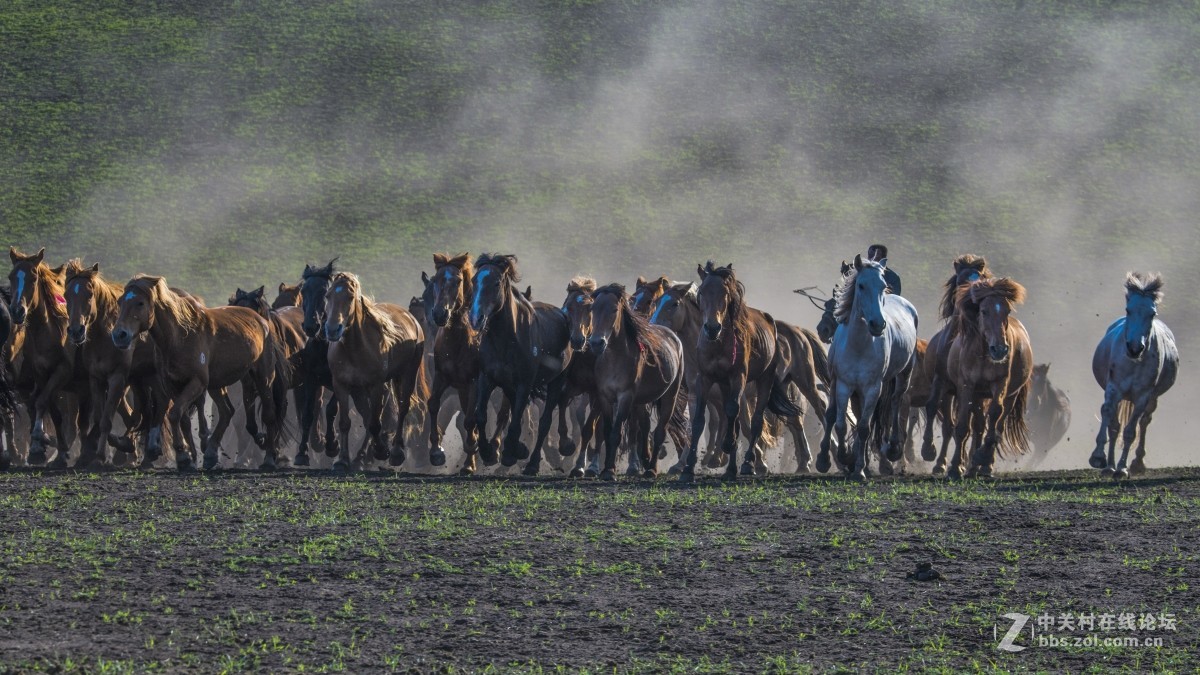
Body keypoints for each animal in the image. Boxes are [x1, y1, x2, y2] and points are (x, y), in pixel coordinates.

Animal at [113, 273, 291, 468]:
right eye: (120, 301)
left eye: (140, 303)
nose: (119, 335)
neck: (180, 335)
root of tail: (263, 323)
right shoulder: (172, 384)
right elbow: (181, 417)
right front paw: (186, 457)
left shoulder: (197, 382)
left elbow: (174, 414)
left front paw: (183, 457)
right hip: (220, 383)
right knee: (227, 411)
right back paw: (211, 453)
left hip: (263, 377)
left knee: (269, 414)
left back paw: (268, 457)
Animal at [324, 267, 427, 468]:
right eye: (328, 295)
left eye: (350, 297)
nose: (332, 330)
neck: (354, 349)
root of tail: (412, 319)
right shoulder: (342, 384)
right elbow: (347, 422)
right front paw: (343, 460)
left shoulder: (376, 385)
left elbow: (374, 422)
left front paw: (381, 451)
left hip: (407, 374)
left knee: (402, 408)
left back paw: (396, 452)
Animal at [468, 252, 571, 473]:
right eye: (474, 281)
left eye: (496, 283)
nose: (475, 318)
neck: (506, 339)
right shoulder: (487, 378)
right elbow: (481, 415)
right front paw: (488, 453)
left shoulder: (525, 383)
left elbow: (516, 420)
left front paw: (508, 454)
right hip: (509, 386)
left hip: (556, 381)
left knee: (544, 422)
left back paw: (532, 463)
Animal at [945, 276, 1032, 475]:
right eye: (984, 311)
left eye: (1007, 310)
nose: (1000, 350)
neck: (983, 353)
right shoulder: (967, 386)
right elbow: (963, 426)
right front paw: (955, 467)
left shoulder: (1000, 383)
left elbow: (995, 414)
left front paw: (982, 458)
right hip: (978, 395)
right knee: (977, 426)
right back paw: (971, 467)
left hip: (1010, 395)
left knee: (997, 424)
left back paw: (983, 465)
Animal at [1094, 270, 1176, 475]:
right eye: (1128, 310)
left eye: (1152, 313)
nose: (1134, 348)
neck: (1134, 363)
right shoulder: (1113, 388)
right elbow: (1108, 416)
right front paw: (1098, 457)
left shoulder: (1143, 396)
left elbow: (1130, 431)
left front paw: (1122, 468)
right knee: (1115, 426)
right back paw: (1109, 467)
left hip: (1152, 399)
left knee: (1144, 422)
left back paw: (1135, 463)